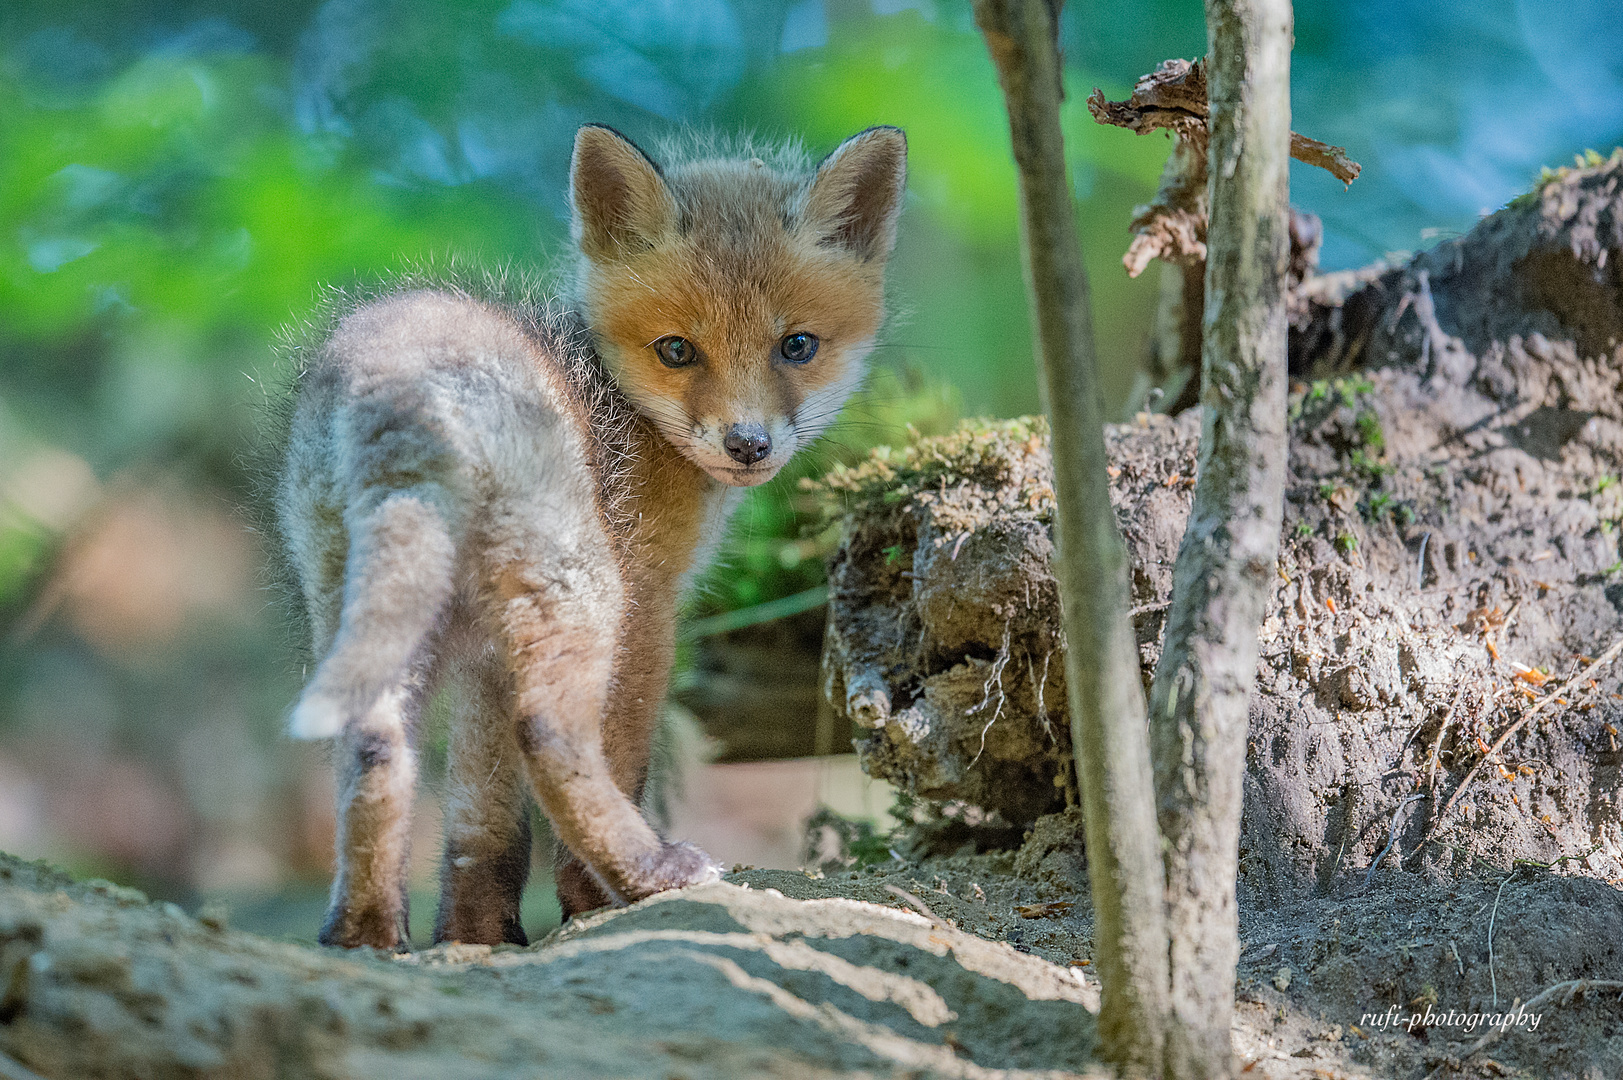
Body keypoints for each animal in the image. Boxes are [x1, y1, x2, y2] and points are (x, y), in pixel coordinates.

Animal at [280, 126, 915, 948]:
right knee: (548, 732)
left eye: (797, 346)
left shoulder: (484, 649)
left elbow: (481, 823)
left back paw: (364, 935)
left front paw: (477, 935)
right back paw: (647, 873)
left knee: (373, 746)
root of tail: (401, 379)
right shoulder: (648, 600)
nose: (748, 445)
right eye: (676, 350)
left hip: (369, 609)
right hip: (582, 590)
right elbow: (619, 753)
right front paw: (583, 899)